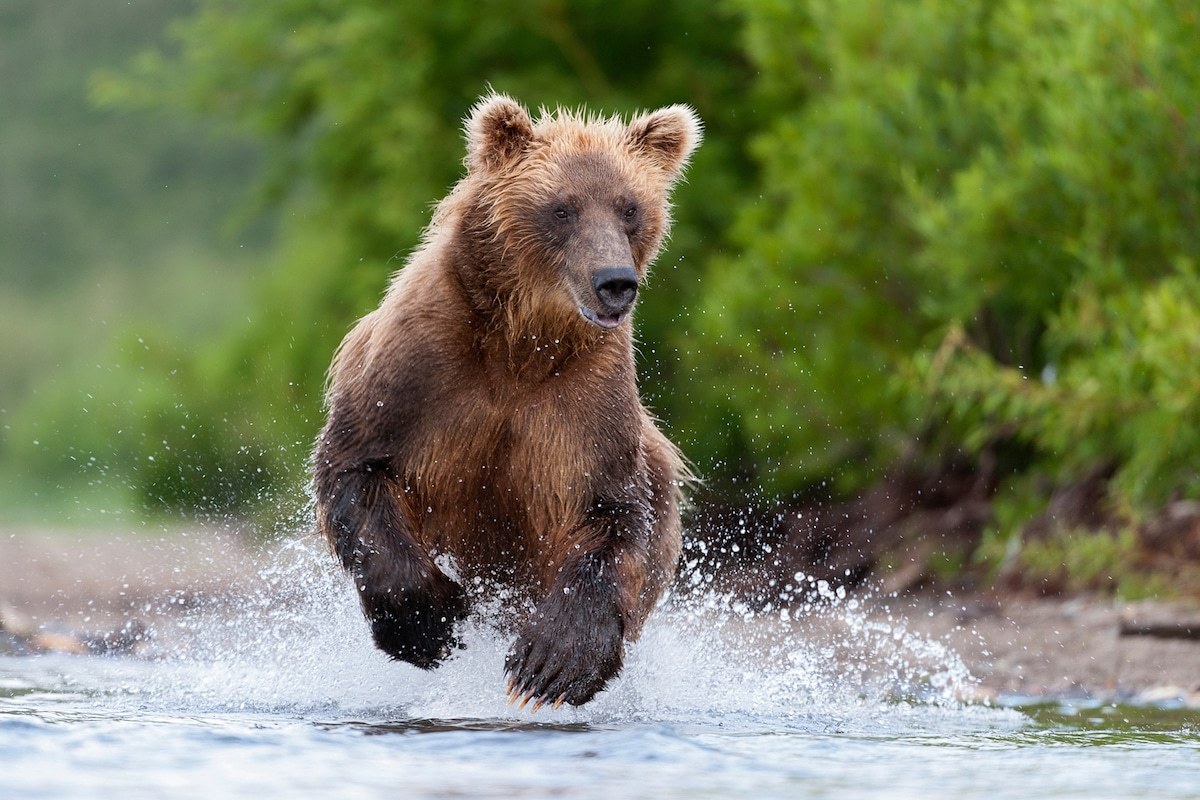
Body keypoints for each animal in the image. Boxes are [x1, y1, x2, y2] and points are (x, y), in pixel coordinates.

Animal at [312, 90, 700, 710]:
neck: (522, 345)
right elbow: (357, 469)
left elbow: (612, 516)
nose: (614, 282)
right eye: (562, 209)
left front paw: (551, 664)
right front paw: (431, 621)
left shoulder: (586, 404)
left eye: (629, 208)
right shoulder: (419, 371)